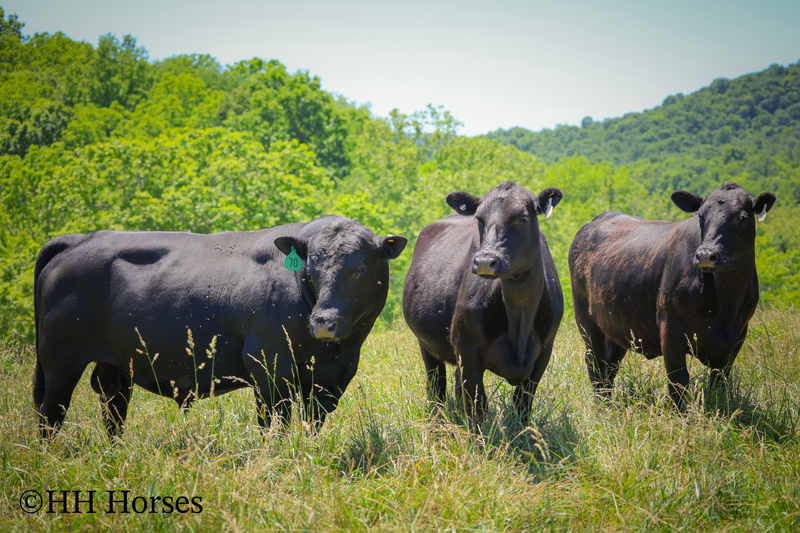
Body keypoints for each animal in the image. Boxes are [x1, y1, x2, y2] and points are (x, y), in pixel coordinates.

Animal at [33, 215, 406, 439]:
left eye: (358, 269)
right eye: (310, 270)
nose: (323, 321)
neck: (332, 349)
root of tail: (80, 239)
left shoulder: (330, 378)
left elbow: (311, 424)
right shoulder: (269, 367)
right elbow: (275, 423)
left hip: (114, 364)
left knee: (112, 405)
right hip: (60, 360)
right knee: (50, 411)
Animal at [403, 181, 564, 425]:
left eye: (521, 218)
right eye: (479, 219)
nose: (485, 261)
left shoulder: (544, 350)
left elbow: (522, 403)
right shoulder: (468, 349)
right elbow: (477, 405)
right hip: (427, 344)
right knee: (436, 388)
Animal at [568, 182, 776, 406]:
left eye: (740, 217)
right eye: (700, 216)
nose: (706, 255)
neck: (725, 307)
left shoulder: (738, 335)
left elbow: (718, 385)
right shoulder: (670, 327)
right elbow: (679, 382)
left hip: (616, 326)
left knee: (609, 367)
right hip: (586, 320)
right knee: (596, 366)